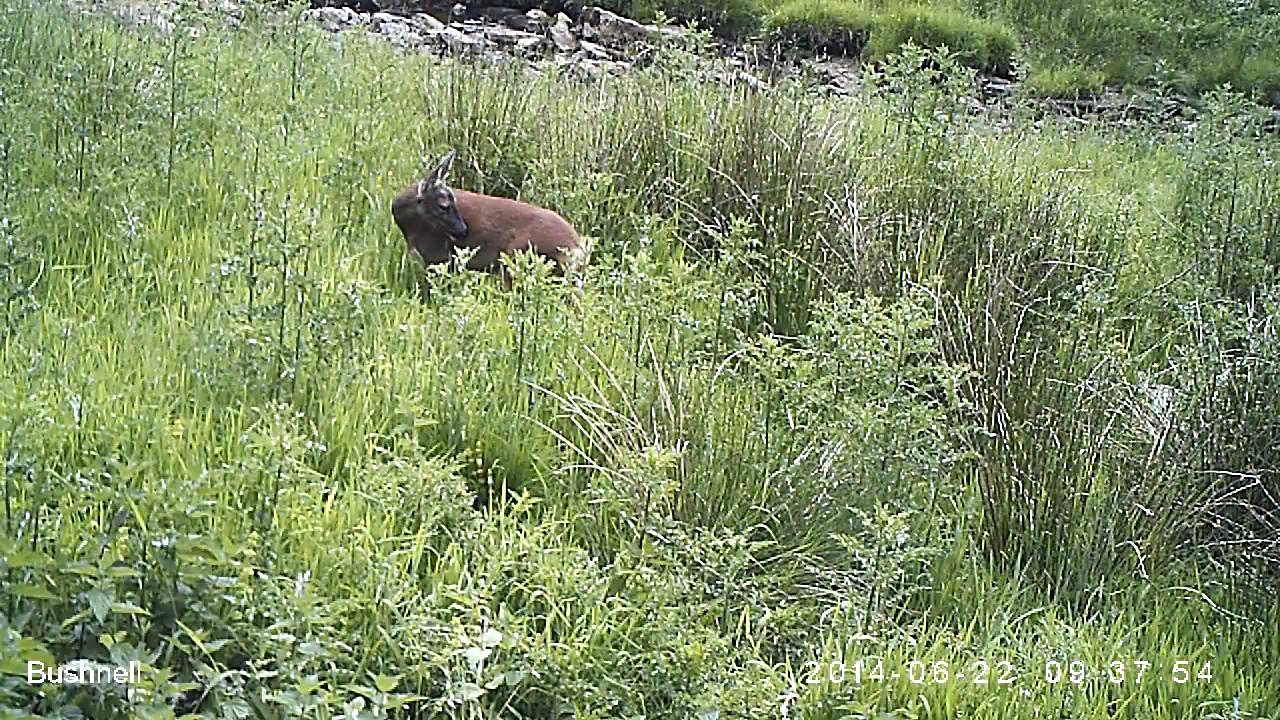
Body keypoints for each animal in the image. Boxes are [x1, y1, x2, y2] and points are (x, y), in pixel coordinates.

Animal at [390, 149, 589, 296]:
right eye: (444, 205)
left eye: (450, 202)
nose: (463, 230)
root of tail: (578, 248)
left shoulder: (438, 257)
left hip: (519, 259)